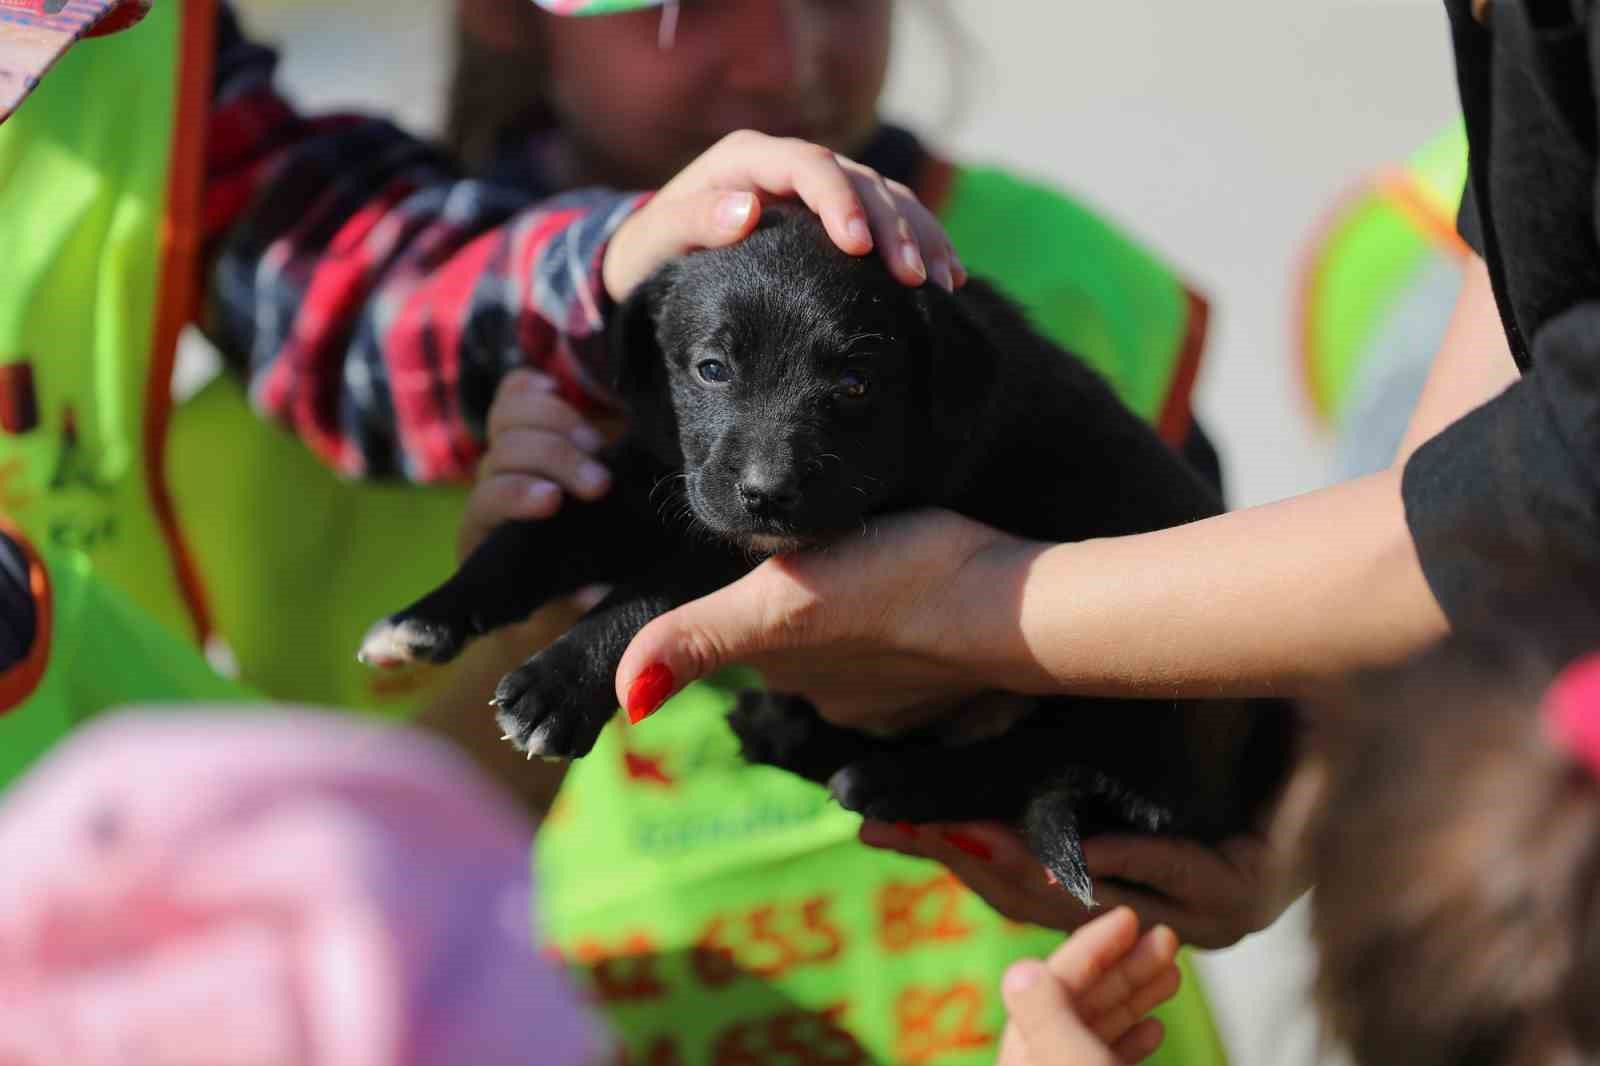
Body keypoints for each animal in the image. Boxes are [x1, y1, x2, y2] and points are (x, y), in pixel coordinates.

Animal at [363, 204, 1286, 896]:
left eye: (853, 385)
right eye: (710, 368)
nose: (767, 492)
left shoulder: (756, 539)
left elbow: (649, 594)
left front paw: (558, 688)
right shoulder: (659, 472)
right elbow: (532, 540)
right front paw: (422, 620)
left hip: (1143, 695)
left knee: (1037, 764)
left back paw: (890, 780)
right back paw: (799, 738)